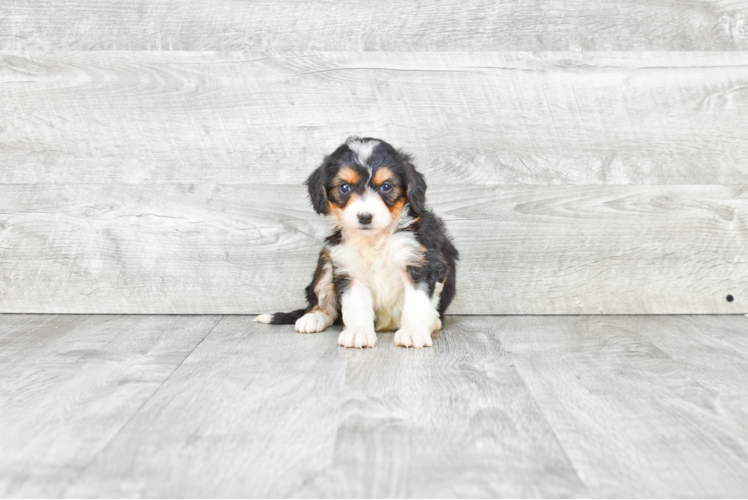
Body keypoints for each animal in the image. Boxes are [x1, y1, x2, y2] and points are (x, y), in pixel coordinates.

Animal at [256, 137, 456, 348]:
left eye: (386, 187)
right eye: (344, 187)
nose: (365, 217)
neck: (375, 239)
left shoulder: (422, 264)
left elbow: (417, 302)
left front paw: (413, 332)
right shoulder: (349, 269)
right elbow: (356, 305)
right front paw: (358, 332)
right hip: (326, 261)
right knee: (324, 303)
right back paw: (313, 317)